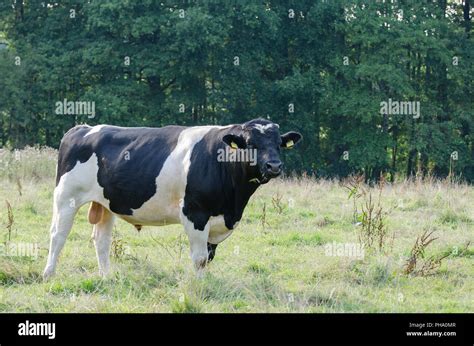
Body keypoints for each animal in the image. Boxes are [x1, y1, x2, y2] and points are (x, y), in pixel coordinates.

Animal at [42, 117, 302, 280]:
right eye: (250, 144)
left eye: (279, 144)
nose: (274, 166)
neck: (234, 204)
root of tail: (82, 128)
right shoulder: (196, 213)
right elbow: (200, 258)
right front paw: (199, 286)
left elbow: (209, 256)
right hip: (66, 197)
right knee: (58, 235)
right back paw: (49, 274)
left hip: (105, 204)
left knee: (101, 240)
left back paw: (106, 277)